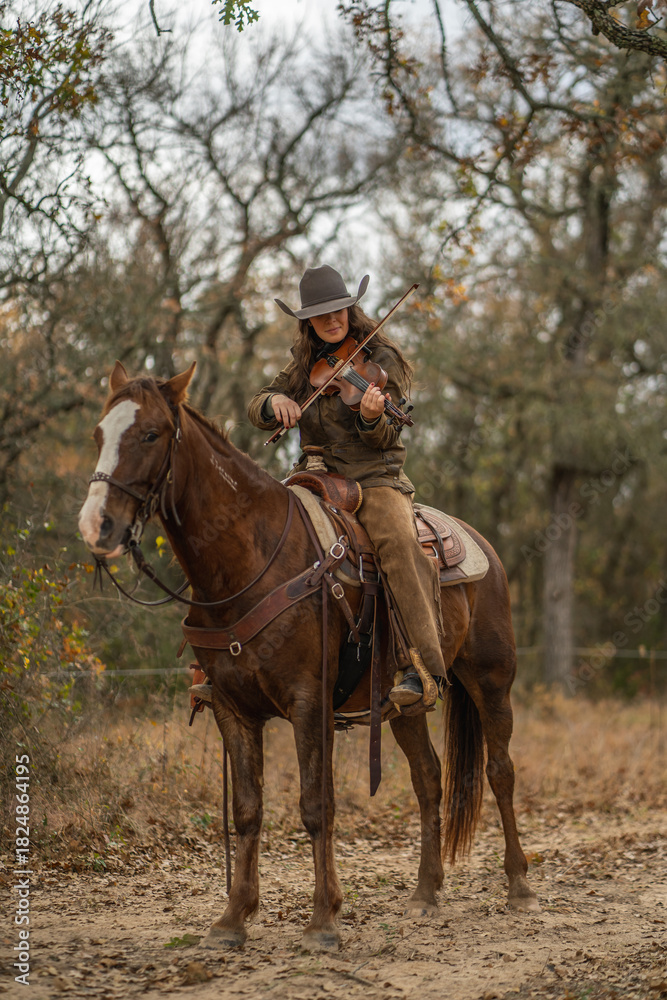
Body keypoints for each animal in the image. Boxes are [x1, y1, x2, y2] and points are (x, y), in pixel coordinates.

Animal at [77, 361, 538, 951]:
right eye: (99, 434)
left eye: (151, 434)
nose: (97, 525)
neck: (249, 560)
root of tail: (487, 550)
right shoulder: (232, 709)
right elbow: (247, 811)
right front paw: (232, 919)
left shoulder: (308, 704)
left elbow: (317, 807)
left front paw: (323, 920)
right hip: (401, 706)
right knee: (429, 780)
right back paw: (425, 892)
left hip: (491, 681)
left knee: (499, 770)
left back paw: (519, 885)